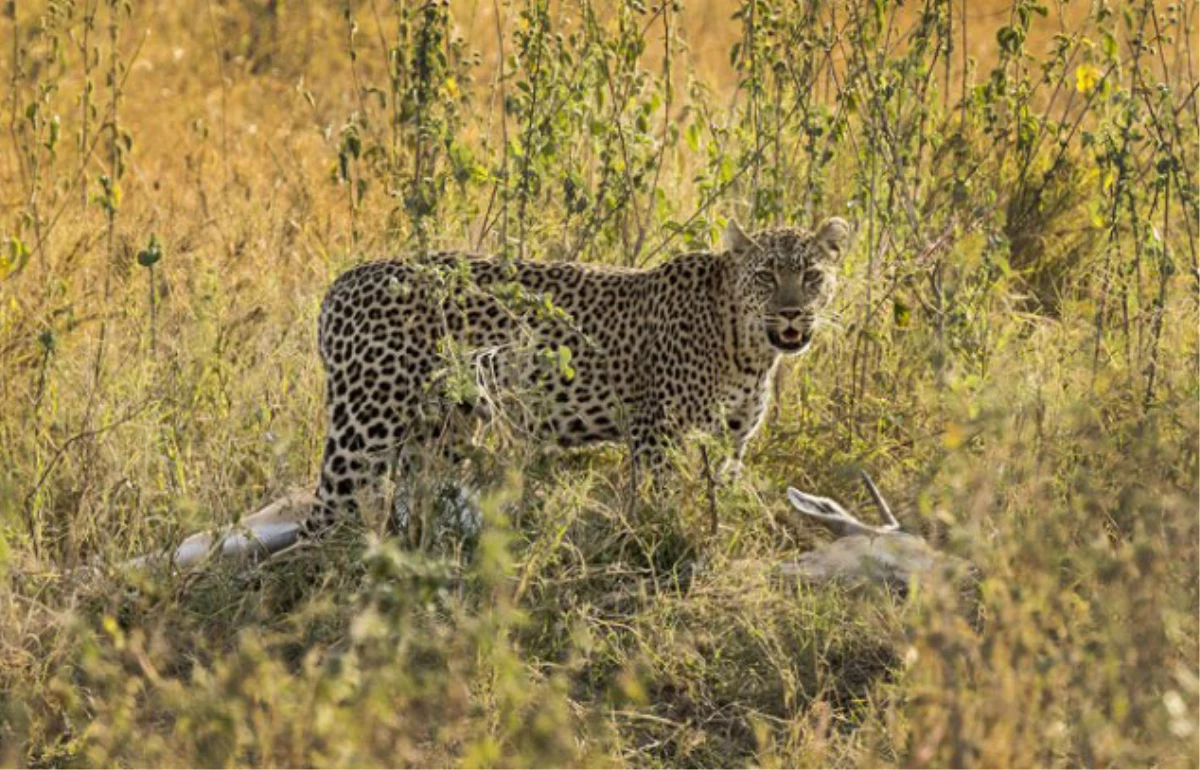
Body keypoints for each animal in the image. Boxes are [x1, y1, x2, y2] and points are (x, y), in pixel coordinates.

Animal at [309, 215, 854, 532]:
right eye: (765, 276)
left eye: (811, 276)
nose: (791, 312)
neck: (748, 349)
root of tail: (344, 280)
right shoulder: (656, 431)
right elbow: (662, 499)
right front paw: (660, 542)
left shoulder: (730, 442)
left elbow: (717, 496)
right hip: (366, 424)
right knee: (327, 511)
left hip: (440, 428)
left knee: (411, 501)